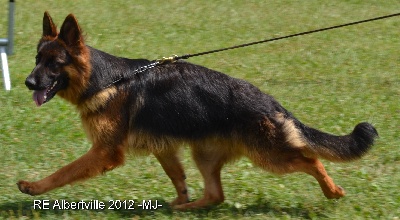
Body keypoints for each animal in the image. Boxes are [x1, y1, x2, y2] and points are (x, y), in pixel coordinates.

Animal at [18, 12, 378, 210]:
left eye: (54, 63)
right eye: (37, 59)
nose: (27, 82)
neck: (105, 80)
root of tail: (271, 102)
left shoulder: (104, 153)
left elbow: (64, 172)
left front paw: (34, 187)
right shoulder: (164, 149)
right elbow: (177, 177)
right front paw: (179, 200)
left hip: (269, 156)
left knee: (311, 160)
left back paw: (332, 190)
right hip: (204, 155)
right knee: (216, 194)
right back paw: (186, 208)